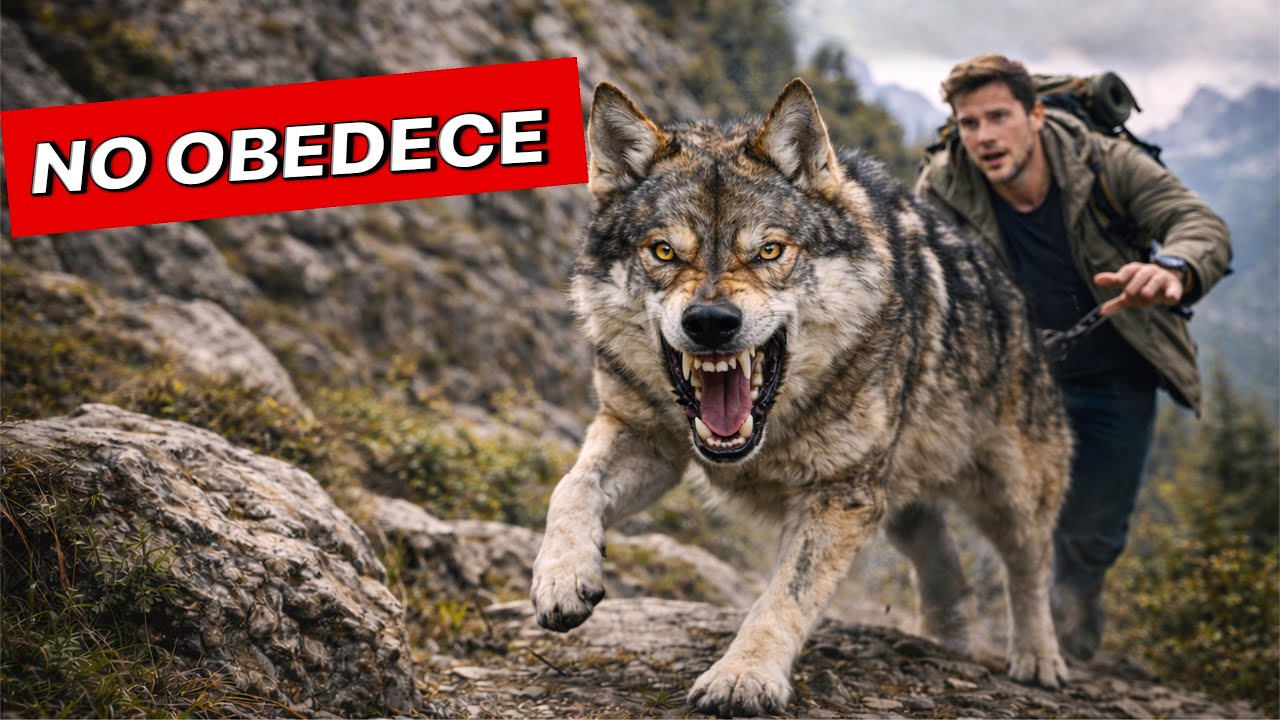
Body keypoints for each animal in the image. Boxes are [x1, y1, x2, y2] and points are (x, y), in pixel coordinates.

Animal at [531, 79, 1072, 717]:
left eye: (769, 251)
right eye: (663, 252)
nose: (710, 323)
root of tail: (1021, 302)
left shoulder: (838, 495)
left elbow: (783, 597)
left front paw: (743, 678)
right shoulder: (642, 436)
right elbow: (571, 488)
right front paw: (561, 578)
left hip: (1010, 496)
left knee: (1031, 569)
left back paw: (1038, 660)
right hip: (900, 499)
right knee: (941, 555)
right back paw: (944, 639)